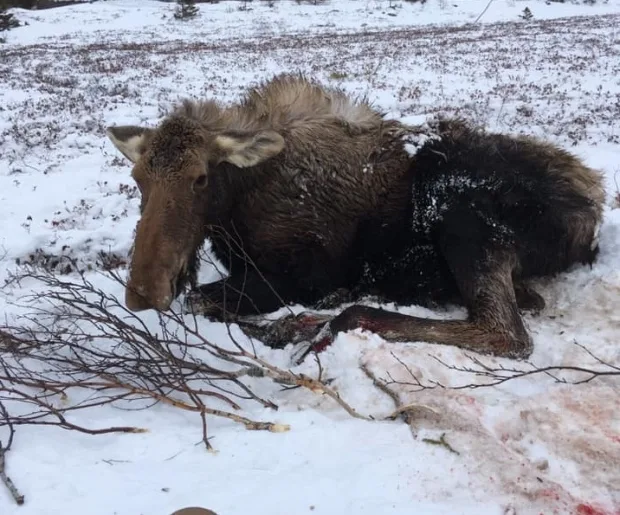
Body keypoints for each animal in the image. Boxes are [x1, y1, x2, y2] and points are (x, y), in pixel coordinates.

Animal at [108, 74, 604, 360]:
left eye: (200, 177)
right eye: (137, 177)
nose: (144, 292)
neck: (237, 210)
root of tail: (591, 211)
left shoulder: (302, 277)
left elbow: (200, 302)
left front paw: (294, 323)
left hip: (462, 210)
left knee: (506, 332)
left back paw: (329, 320)